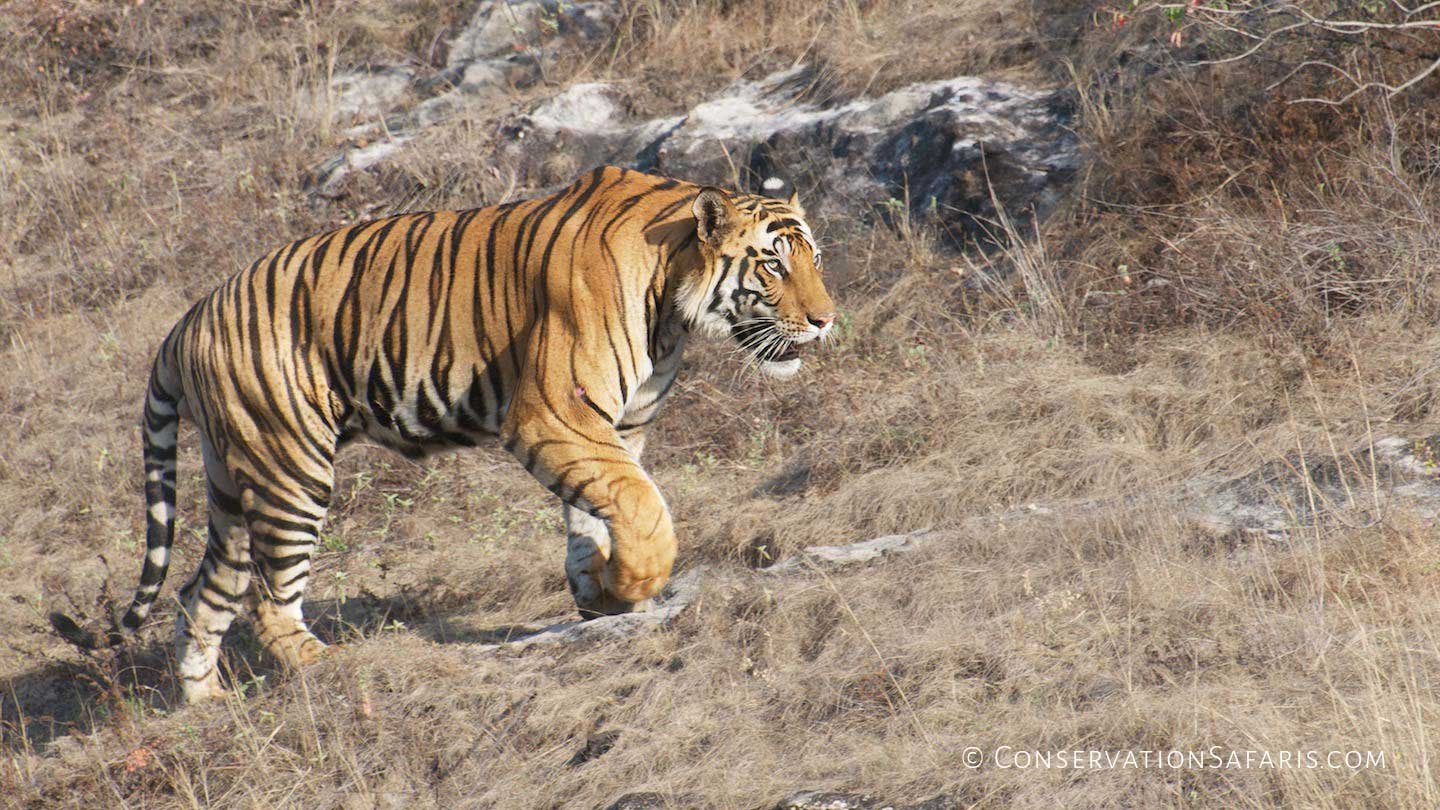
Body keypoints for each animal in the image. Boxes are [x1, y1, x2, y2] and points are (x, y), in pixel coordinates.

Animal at [106, 165, 840, 700]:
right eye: (773, 265)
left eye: (813, 260)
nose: (827, 320)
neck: (671, 302)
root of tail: (186, 322)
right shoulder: (554, 411)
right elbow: (642, 507)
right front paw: (633, 585)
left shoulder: (616, 428)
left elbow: (600, 512)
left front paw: (602, 592)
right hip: (291, 468)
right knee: (269, 602)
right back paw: (337, 671)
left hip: (234, 482)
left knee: (199, 597)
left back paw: (208, 711)